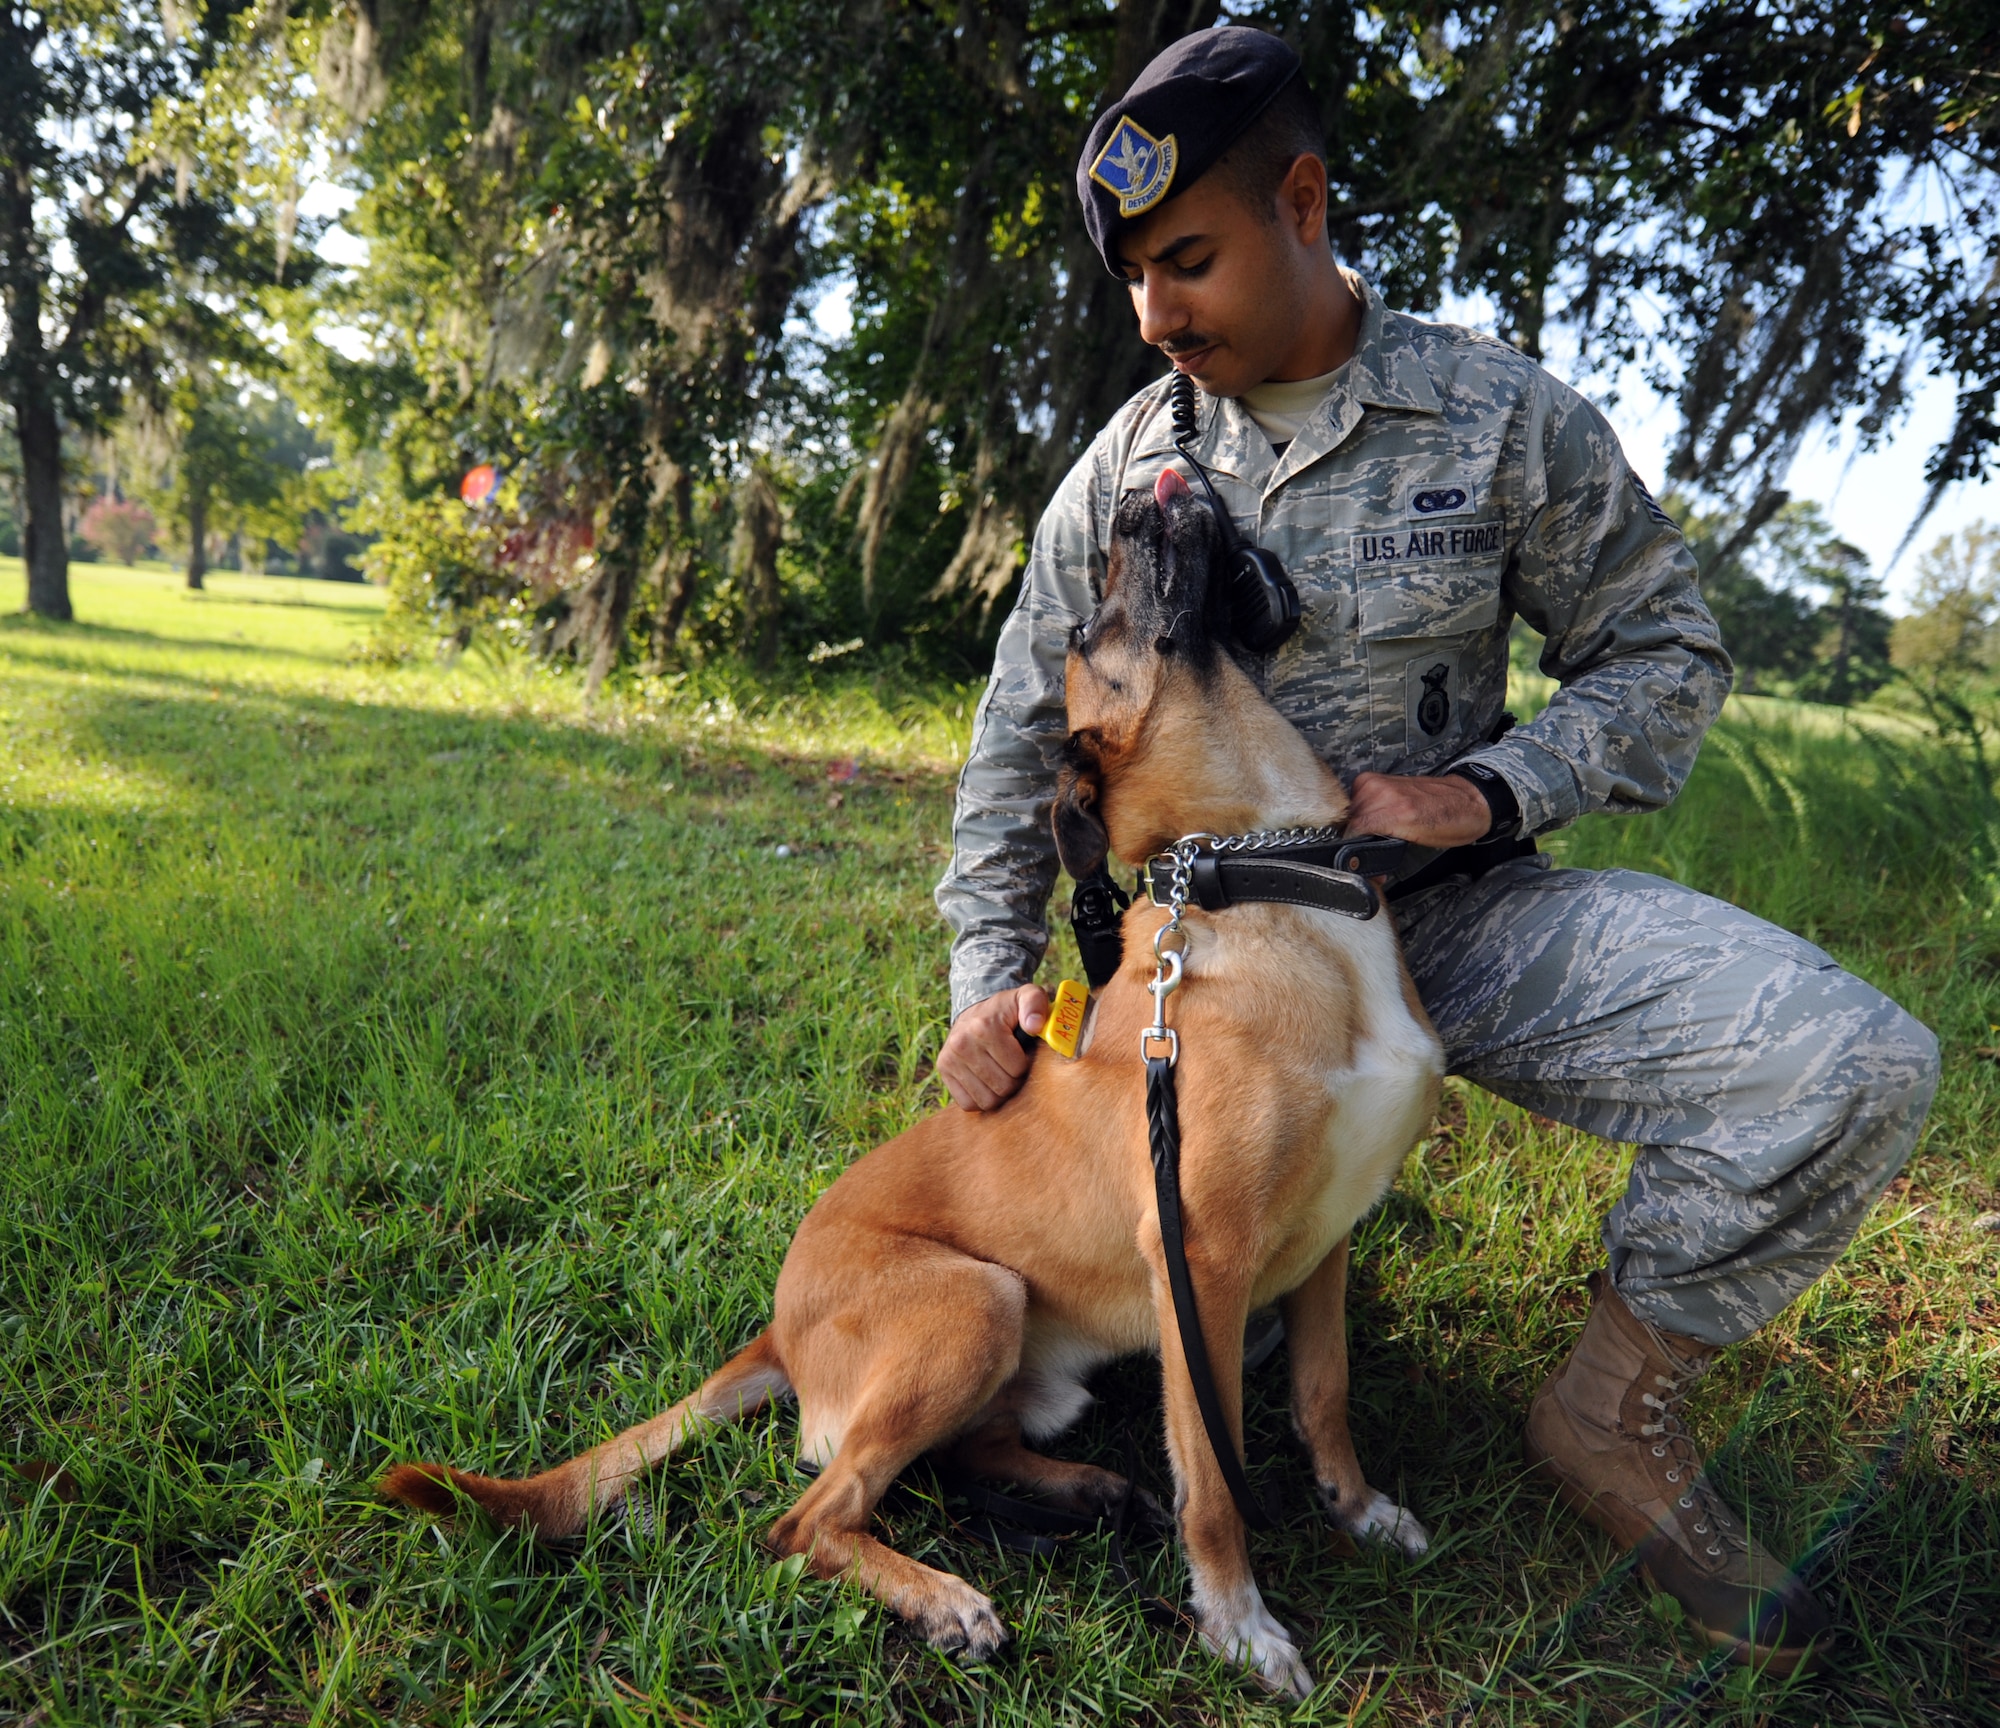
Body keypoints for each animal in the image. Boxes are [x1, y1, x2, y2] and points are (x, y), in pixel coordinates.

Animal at [378, 466, 1440, 1696]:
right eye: (1084, 628)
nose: (1146, 487)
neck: (1263, 871)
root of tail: (778, 1330)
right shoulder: (1204, 1261)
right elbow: (1213, 1483)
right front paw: (1239, 1623)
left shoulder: (1325, 1241)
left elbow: (1324, 1397)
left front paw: (1357, 1510)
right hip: (975, 1300)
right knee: (808, 1521)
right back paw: (941, 1598)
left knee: (955, 1459)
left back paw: (1081, 1491)